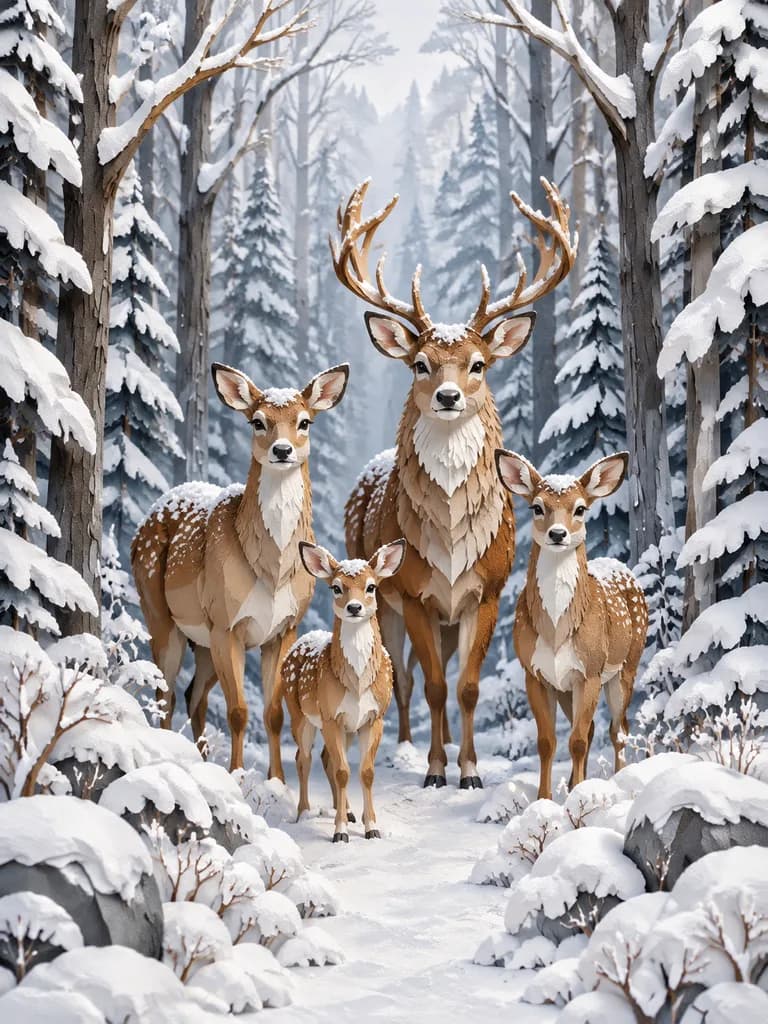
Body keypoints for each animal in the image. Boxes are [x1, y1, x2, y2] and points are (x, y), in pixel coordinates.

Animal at [131, 362, 349, 775]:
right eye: (258, 421)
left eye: (305, 422)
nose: (282, 450)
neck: (272, 571)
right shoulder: (227, 623)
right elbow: (238, 712)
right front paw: (236, 775)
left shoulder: (283, 629)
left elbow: (272, 713)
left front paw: (276, 779)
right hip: (161, 613)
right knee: (166, 691)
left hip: (202, 642)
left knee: (193, 695)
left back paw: (201, 760)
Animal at [281, 540, 405, 843]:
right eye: (336, 587)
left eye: (371, 586)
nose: (354, 607)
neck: (357, 683)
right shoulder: (330, 716)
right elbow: (342, 772)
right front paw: (340, 833)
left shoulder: (374, 717)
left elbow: (365, 772)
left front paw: (371, 827)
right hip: (299, 714)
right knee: (303, 758)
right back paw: (304, 812)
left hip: (348, 728)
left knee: (326, 759)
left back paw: (348, 812)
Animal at [335, 177, 577, 790]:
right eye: (420, 363)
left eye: (478, 364)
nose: (448, 396)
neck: (446, 542)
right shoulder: (416, 593)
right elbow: (434, 686)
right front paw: (435, 770)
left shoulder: (484, 591)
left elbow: (465, 687)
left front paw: (469, 771)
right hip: (383, 599)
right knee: (406, 677)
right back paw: (405, 749)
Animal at [494, 450, 649, 800]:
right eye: (537, 507)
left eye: (580, 508)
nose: (557, 534)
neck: (555, 629)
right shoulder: (536, 673)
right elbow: (547, 742)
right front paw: (544, 799)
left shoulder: (589, 670)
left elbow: (576, 741)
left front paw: (577, 797)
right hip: (567, 688)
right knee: (593, 730)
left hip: (626, 666)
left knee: (618, 729)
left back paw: (617, 779)